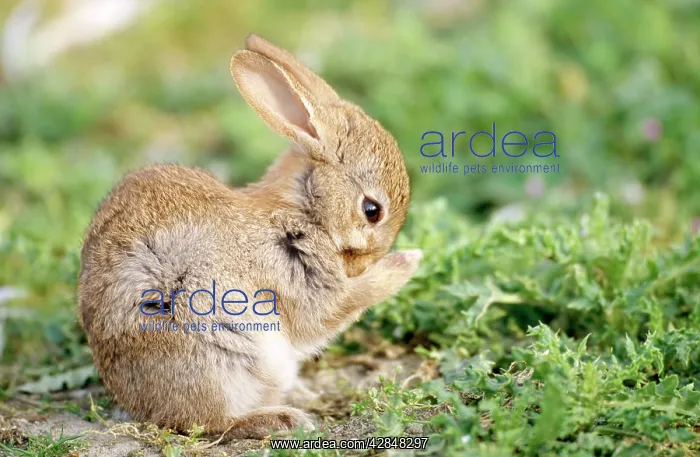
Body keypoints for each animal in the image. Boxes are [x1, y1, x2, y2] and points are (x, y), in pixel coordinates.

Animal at [77, 33, 422, 439]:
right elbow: (337, 307)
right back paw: (282, 418)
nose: (359, 266)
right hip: (219, 354)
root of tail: (143, 407)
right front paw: (408, 261)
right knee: (210, 421)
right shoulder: (294, 276)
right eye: (372, 210)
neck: (299, 208)